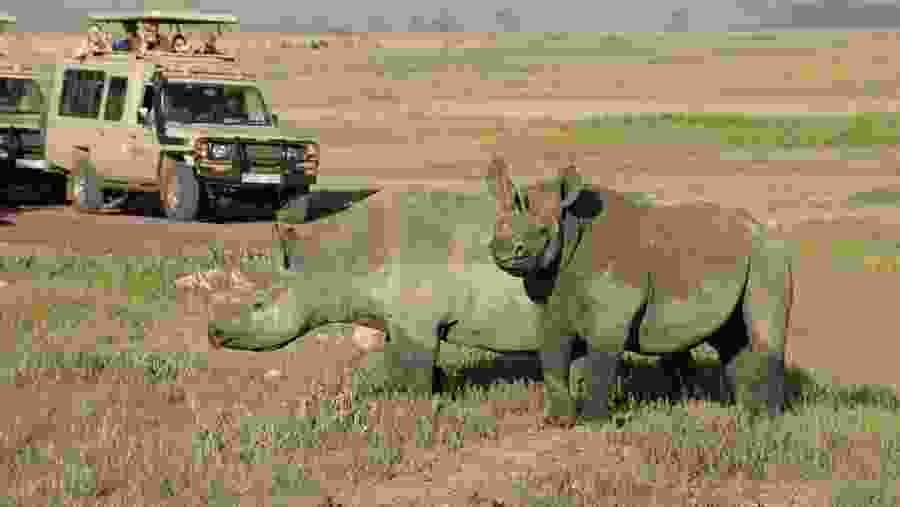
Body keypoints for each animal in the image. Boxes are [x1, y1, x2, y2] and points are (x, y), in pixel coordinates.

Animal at [485, 156, 794, 426]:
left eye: (541, 231)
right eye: (497, 225)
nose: (503, 249)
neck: (571, 226)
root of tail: (760, 226)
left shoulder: (612, 313)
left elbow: (600, 363)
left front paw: (593, 424)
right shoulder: (550, 300)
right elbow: (551, 357)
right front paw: (557, 422)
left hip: (768, 254)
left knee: (764, 331)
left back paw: (768, 420)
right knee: (729, 338)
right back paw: (744, 413)